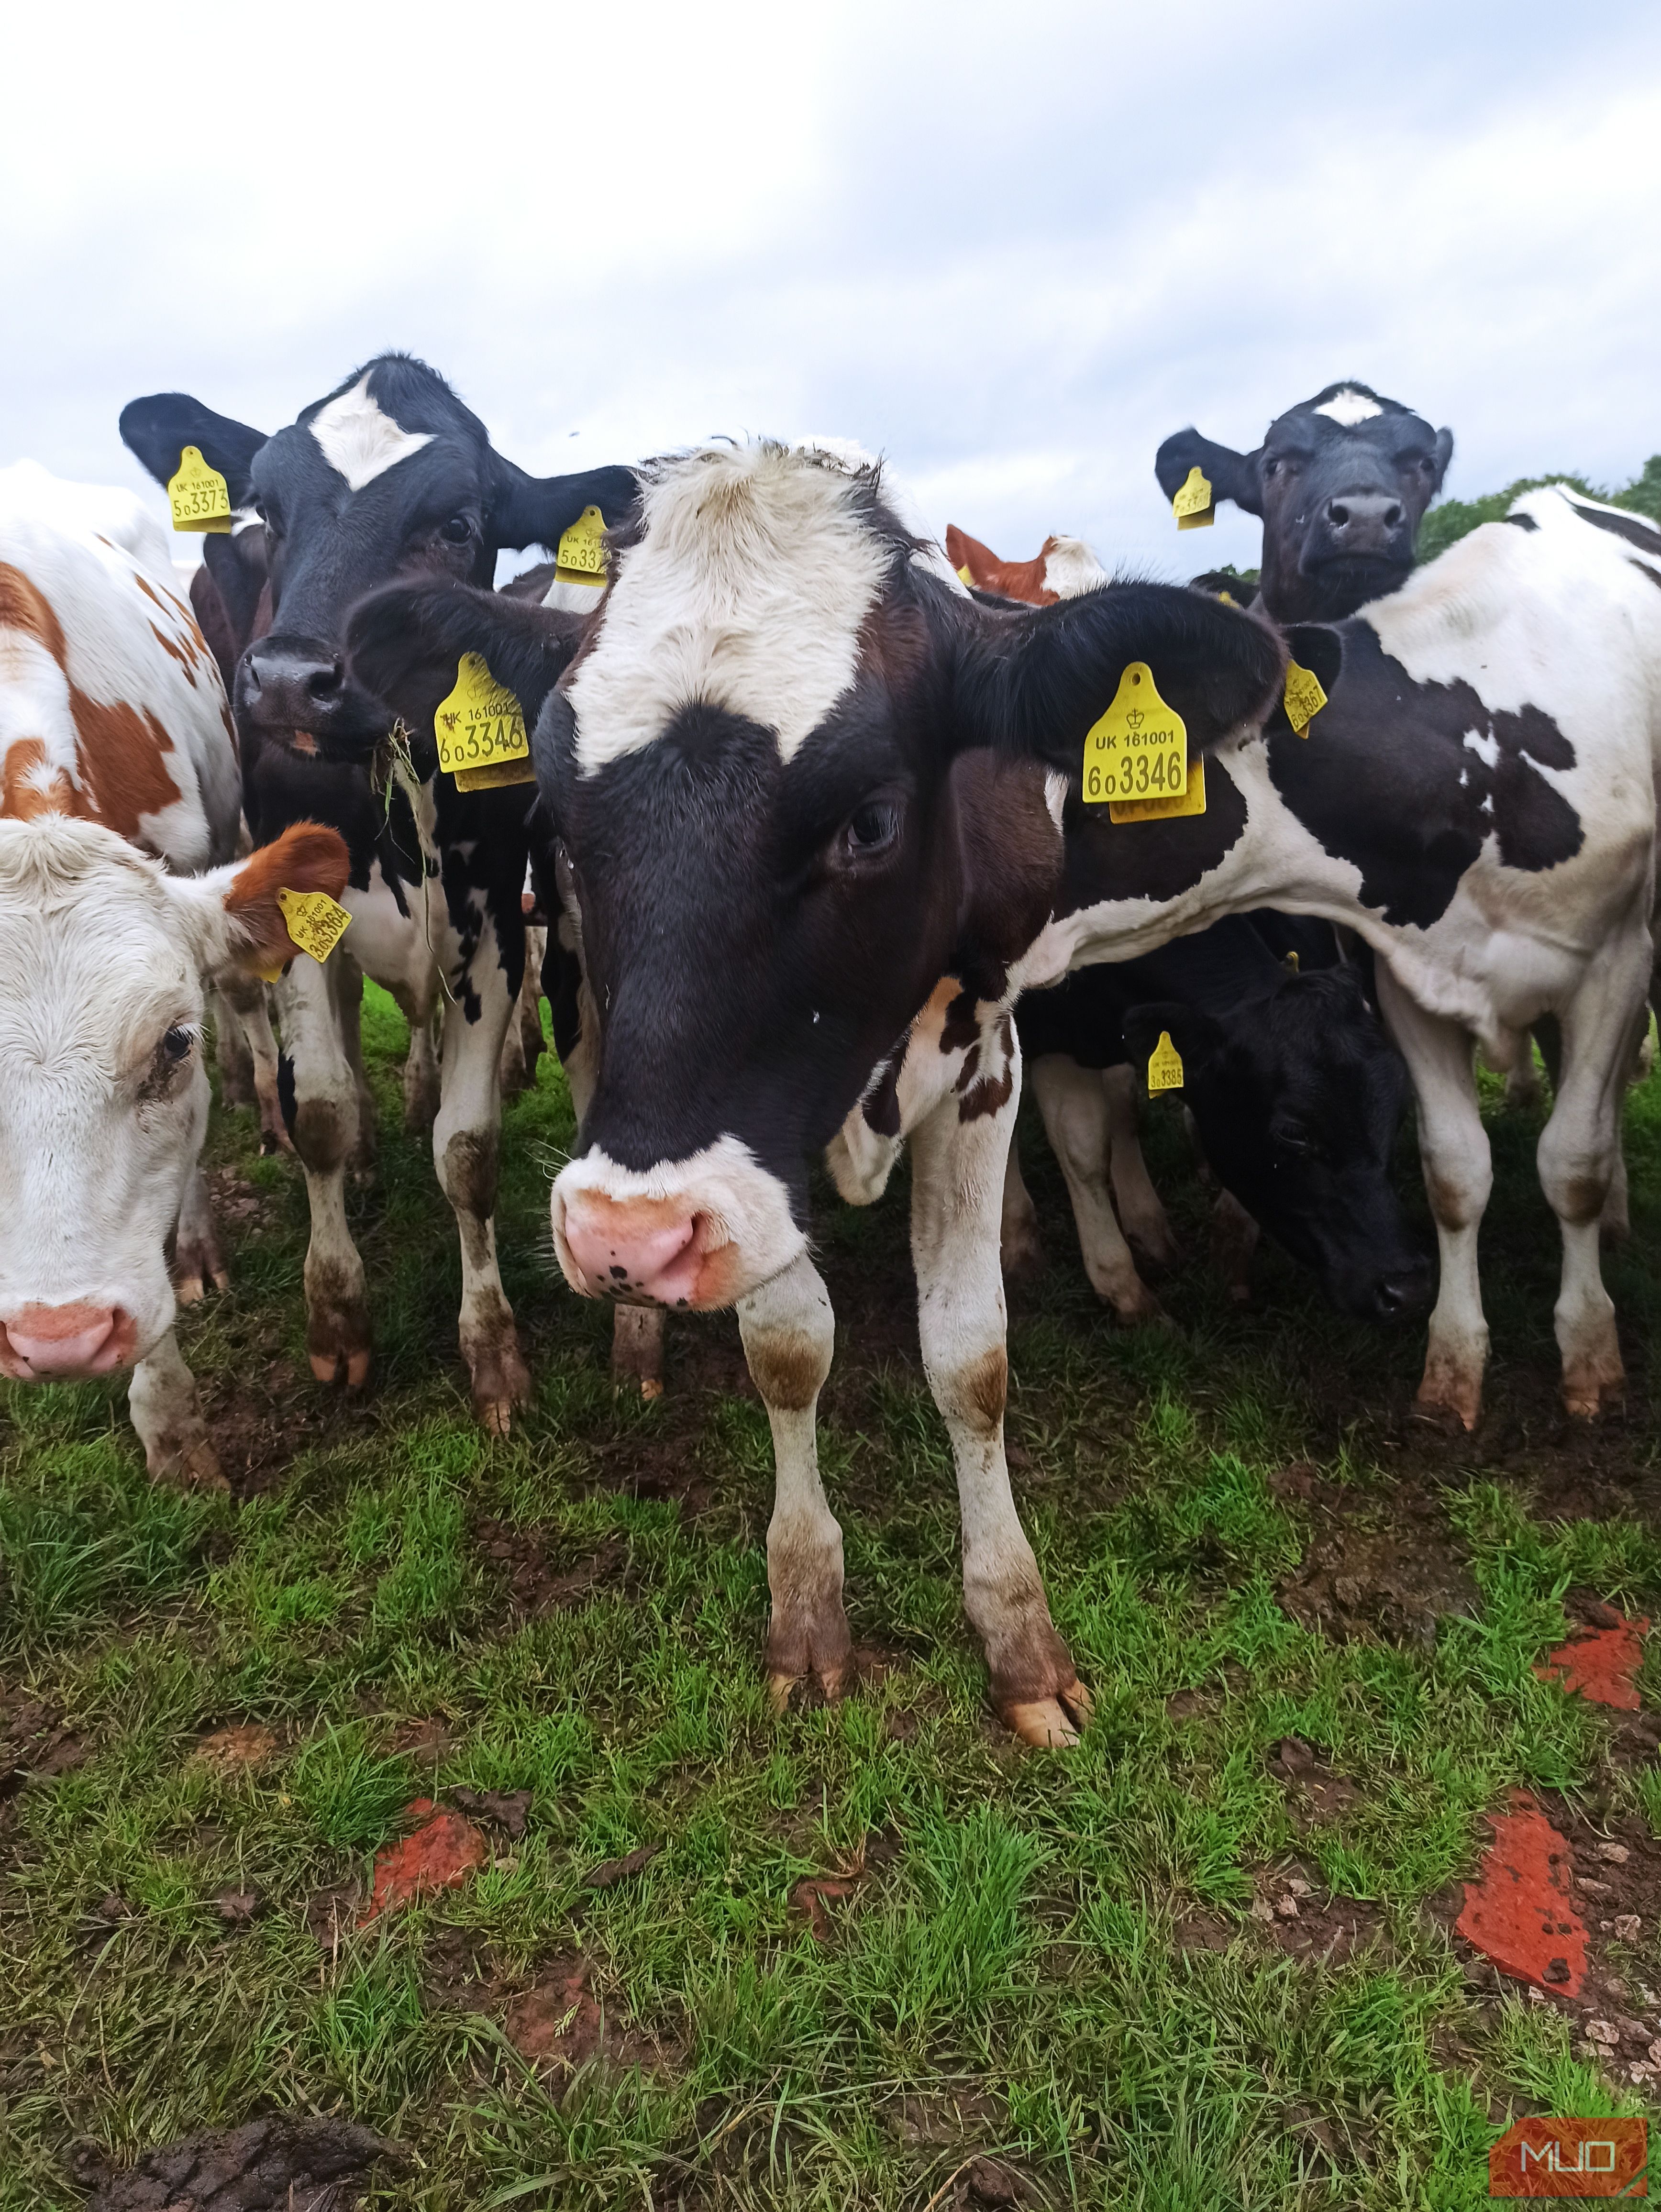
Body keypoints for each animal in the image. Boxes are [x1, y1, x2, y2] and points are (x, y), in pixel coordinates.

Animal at [120, 356, 639, 1427]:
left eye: (457, 524)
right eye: (268, 506)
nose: (286, 681)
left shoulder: (493, 923)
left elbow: (468, 1147)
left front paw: (492, 1347)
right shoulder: (296, 912)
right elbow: (316, 1109)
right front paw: (337, 1316)